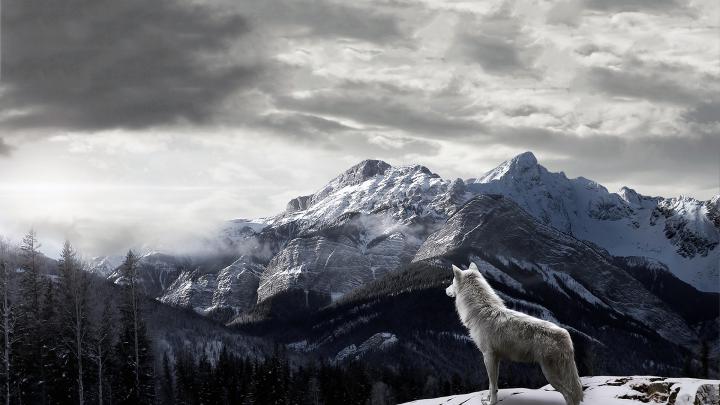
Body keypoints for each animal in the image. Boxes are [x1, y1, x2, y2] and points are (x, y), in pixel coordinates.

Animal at [445, 262, 584, 405]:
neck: (481, 311)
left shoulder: (488, 356)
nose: (445, 289)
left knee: (570, 394)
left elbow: (492, 385)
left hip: (551, 375)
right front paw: (488, 399)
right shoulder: (496, 358)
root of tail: (566, 335)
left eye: (451, 282)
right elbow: (492, 385)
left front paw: (491, 402)